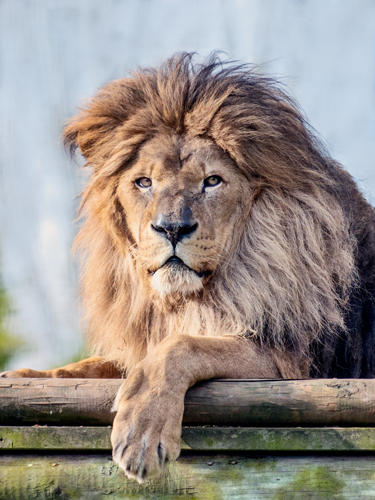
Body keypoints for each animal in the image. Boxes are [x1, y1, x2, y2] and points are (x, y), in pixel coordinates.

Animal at [2, 54, 375, 484]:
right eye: (144, 182)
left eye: (212, 181)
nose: (172, 228)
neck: (190, 297)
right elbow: (92, 365)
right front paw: (25, 377)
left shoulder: (287, 361)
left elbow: (181, 346)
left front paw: (142, 433)